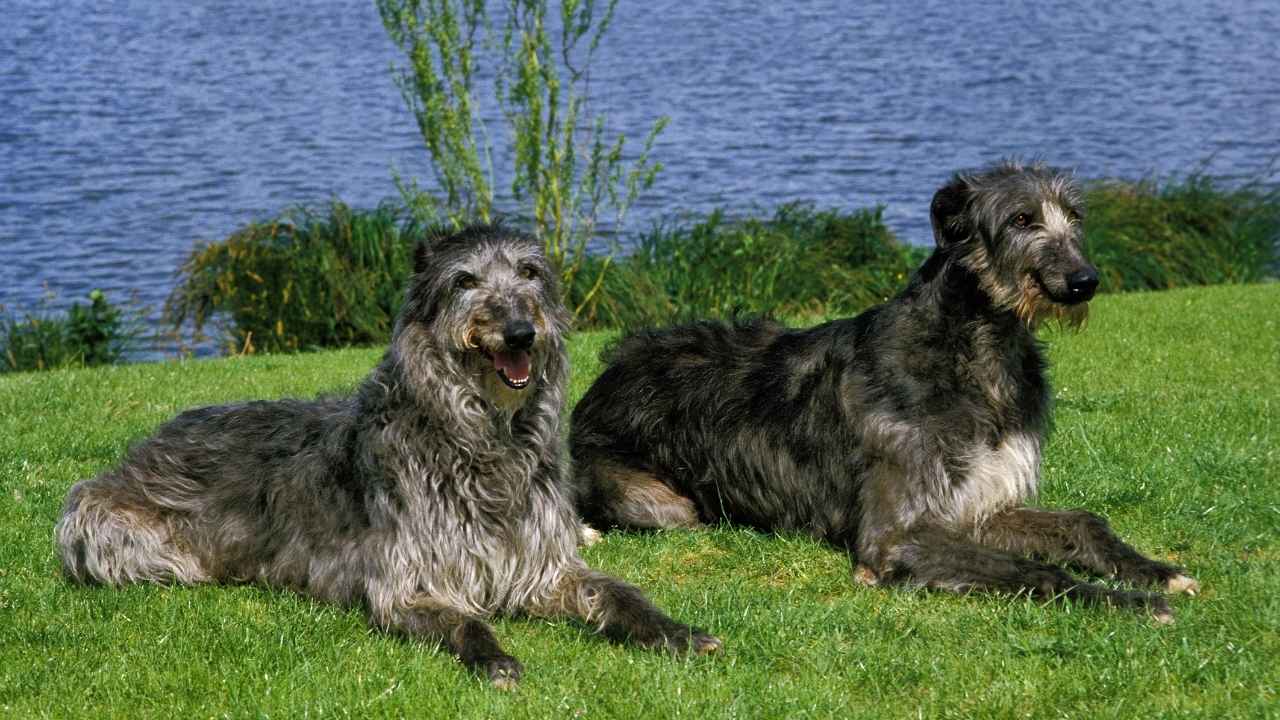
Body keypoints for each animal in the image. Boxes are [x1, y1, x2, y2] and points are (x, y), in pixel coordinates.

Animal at [55, 224, 721, 681]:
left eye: (530, 273)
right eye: (465, 281)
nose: (520, 331)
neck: (479, 440)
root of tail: (148, 442)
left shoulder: (543, 566)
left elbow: (615, 593)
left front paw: (674, 631)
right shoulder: (408, 581)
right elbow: (463, 618)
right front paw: (495, 659)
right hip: (112, 531)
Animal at [576, 159, 1203, 620]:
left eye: (1074, 216)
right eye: (1022, 219)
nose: (1083, 281)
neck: (974, 352)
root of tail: (603, 379)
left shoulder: (980, 504)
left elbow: (1081, 521)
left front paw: (1156, 572)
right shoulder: (896, 532)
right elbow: (1029, 569)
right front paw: (1125, 600)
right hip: (660, 503)